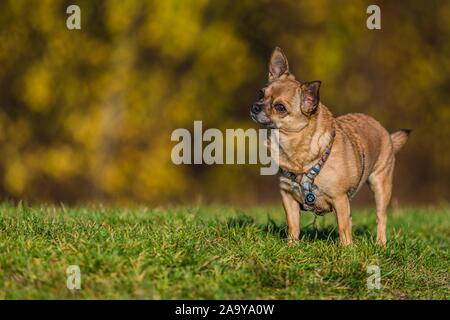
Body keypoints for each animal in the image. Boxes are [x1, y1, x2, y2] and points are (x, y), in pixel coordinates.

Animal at [250, 47, 412, 245]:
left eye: (280, 107)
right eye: (260, 93)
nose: (255, 107)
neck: (296, 151)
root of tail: (385, 132)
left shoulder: (339, 198)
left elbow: (342, 227)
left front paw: (347, 248)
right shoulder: (288, 197)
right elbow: (293, 225)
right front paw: (291, 245)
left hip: (380, 185)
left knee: (381, 217)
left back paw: (380, 244)